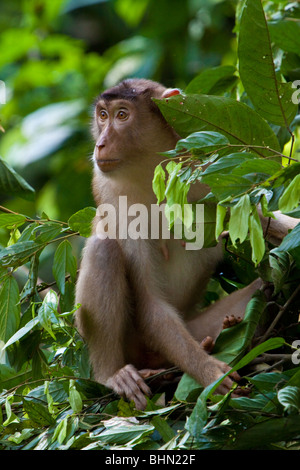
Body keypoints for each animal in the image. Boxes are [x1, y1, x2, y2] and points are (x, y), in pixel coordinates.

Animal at [75, 79, 298, 410]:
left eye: (121, 115)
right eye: (102, 115)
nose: (100, 144)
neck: (150, 167)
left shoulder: (207, 175)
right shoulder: (117, 201)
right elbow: (150, 304)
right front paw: (210, 373)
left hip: (193, 328)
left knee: (262, 291)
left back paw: (224, 330)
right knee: (104, 249)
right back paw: (113, 373)